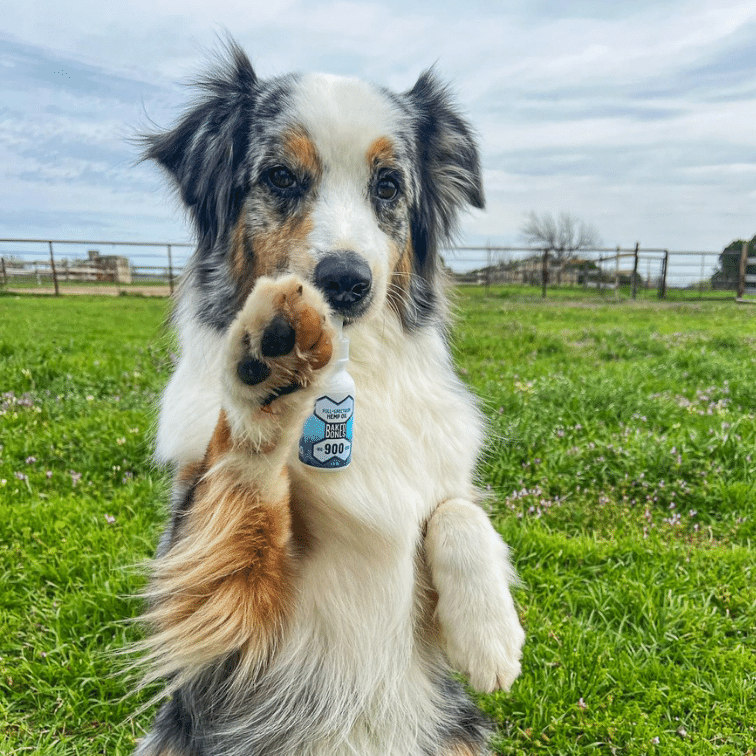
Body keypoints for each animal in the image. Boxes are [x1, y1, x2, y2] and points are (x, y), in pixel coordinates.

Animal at [136, 41, 524, 756]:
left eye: (388, 186)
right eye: (281, 177)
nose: (346, 281)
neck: (351, 381)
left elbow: (456, 506)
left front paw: (490, 635)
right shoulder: (219, 608)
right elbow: (243, 484)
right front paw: (266, 380)